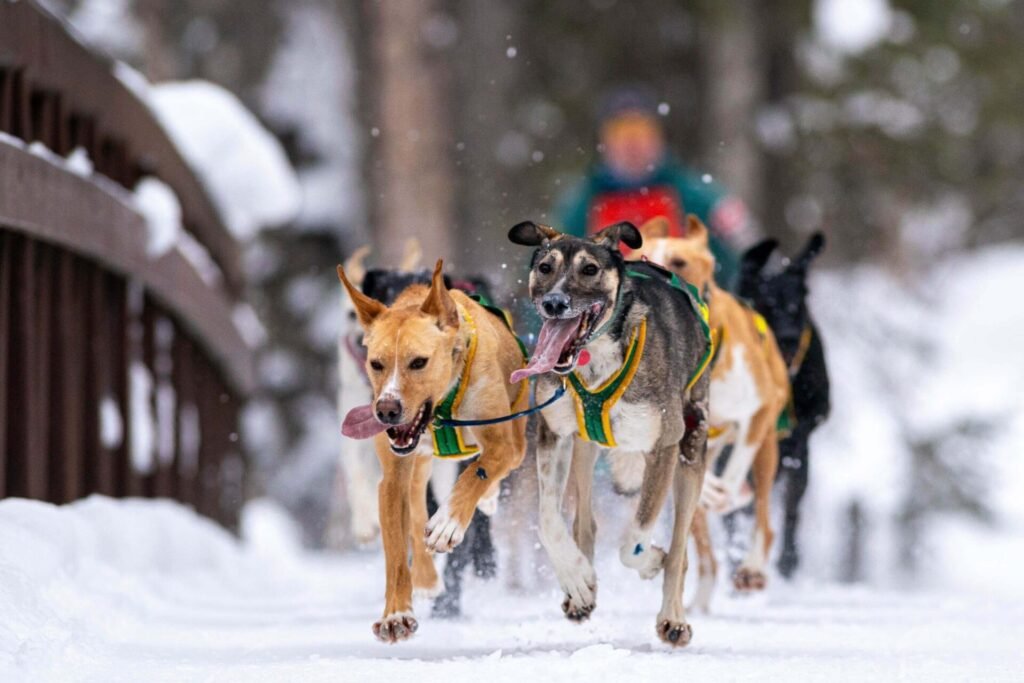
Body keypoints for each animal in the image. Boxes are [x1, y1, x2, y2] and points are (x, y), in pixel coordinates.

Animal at [335, 259, 528, 643]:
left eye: (418, 362)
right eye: (376, 363)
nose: (386, 410)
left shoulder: (502, 442)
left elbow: (477, 474)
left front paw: (448, 523)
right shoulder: (394, 474)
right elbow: (397, 544)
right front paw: (396, 614)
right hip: (420, 462)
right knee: (415, 502)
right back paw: (426, 577)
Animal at [630, 218, 790, 610]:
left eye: (680, 261)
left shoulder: (757, 413)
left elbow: (732, 483)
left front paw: (726, 492)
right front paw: (713, 492)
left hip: (767, 447)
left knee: (764, 521)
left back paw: (751, 568)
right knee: (703, 549)